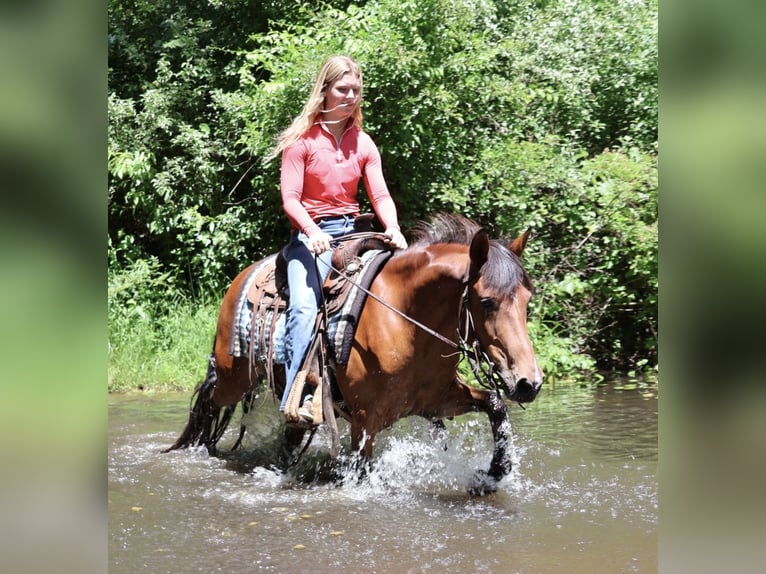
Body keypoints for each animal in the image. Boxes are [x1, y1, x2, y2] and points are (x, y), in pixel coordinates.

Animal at [164, 213, 543, 492]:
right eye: (486, 301)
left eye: (527, 300)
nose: (529, 383)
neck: (406, 321)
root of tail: (242, 276)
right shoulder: (364, 421)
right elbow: (361, 471)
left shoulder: (436, 401)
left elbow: (496, 406)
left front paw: (494, 473)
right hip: (234, 376)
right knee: (209, 400)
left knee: (288, 434)